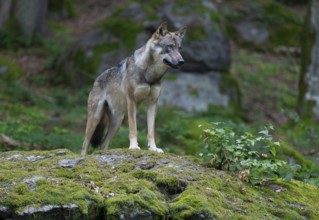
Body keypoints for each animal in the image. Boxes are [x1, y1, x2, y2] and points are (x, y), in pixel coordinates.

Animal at [81, 22, 188, 156]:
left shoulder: (152, 102)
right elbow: (133, 128)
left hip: (117, 123)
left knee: (102, 145)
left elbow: (151, 130)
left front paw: (153, 148)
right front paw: (133, 147)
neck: (150, 74)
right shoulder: (131, 100)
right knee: (84, 145)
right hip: (95, 119)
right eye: (170, 47)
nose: (181, 61)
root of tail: (96, 80)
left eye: (180, 48)